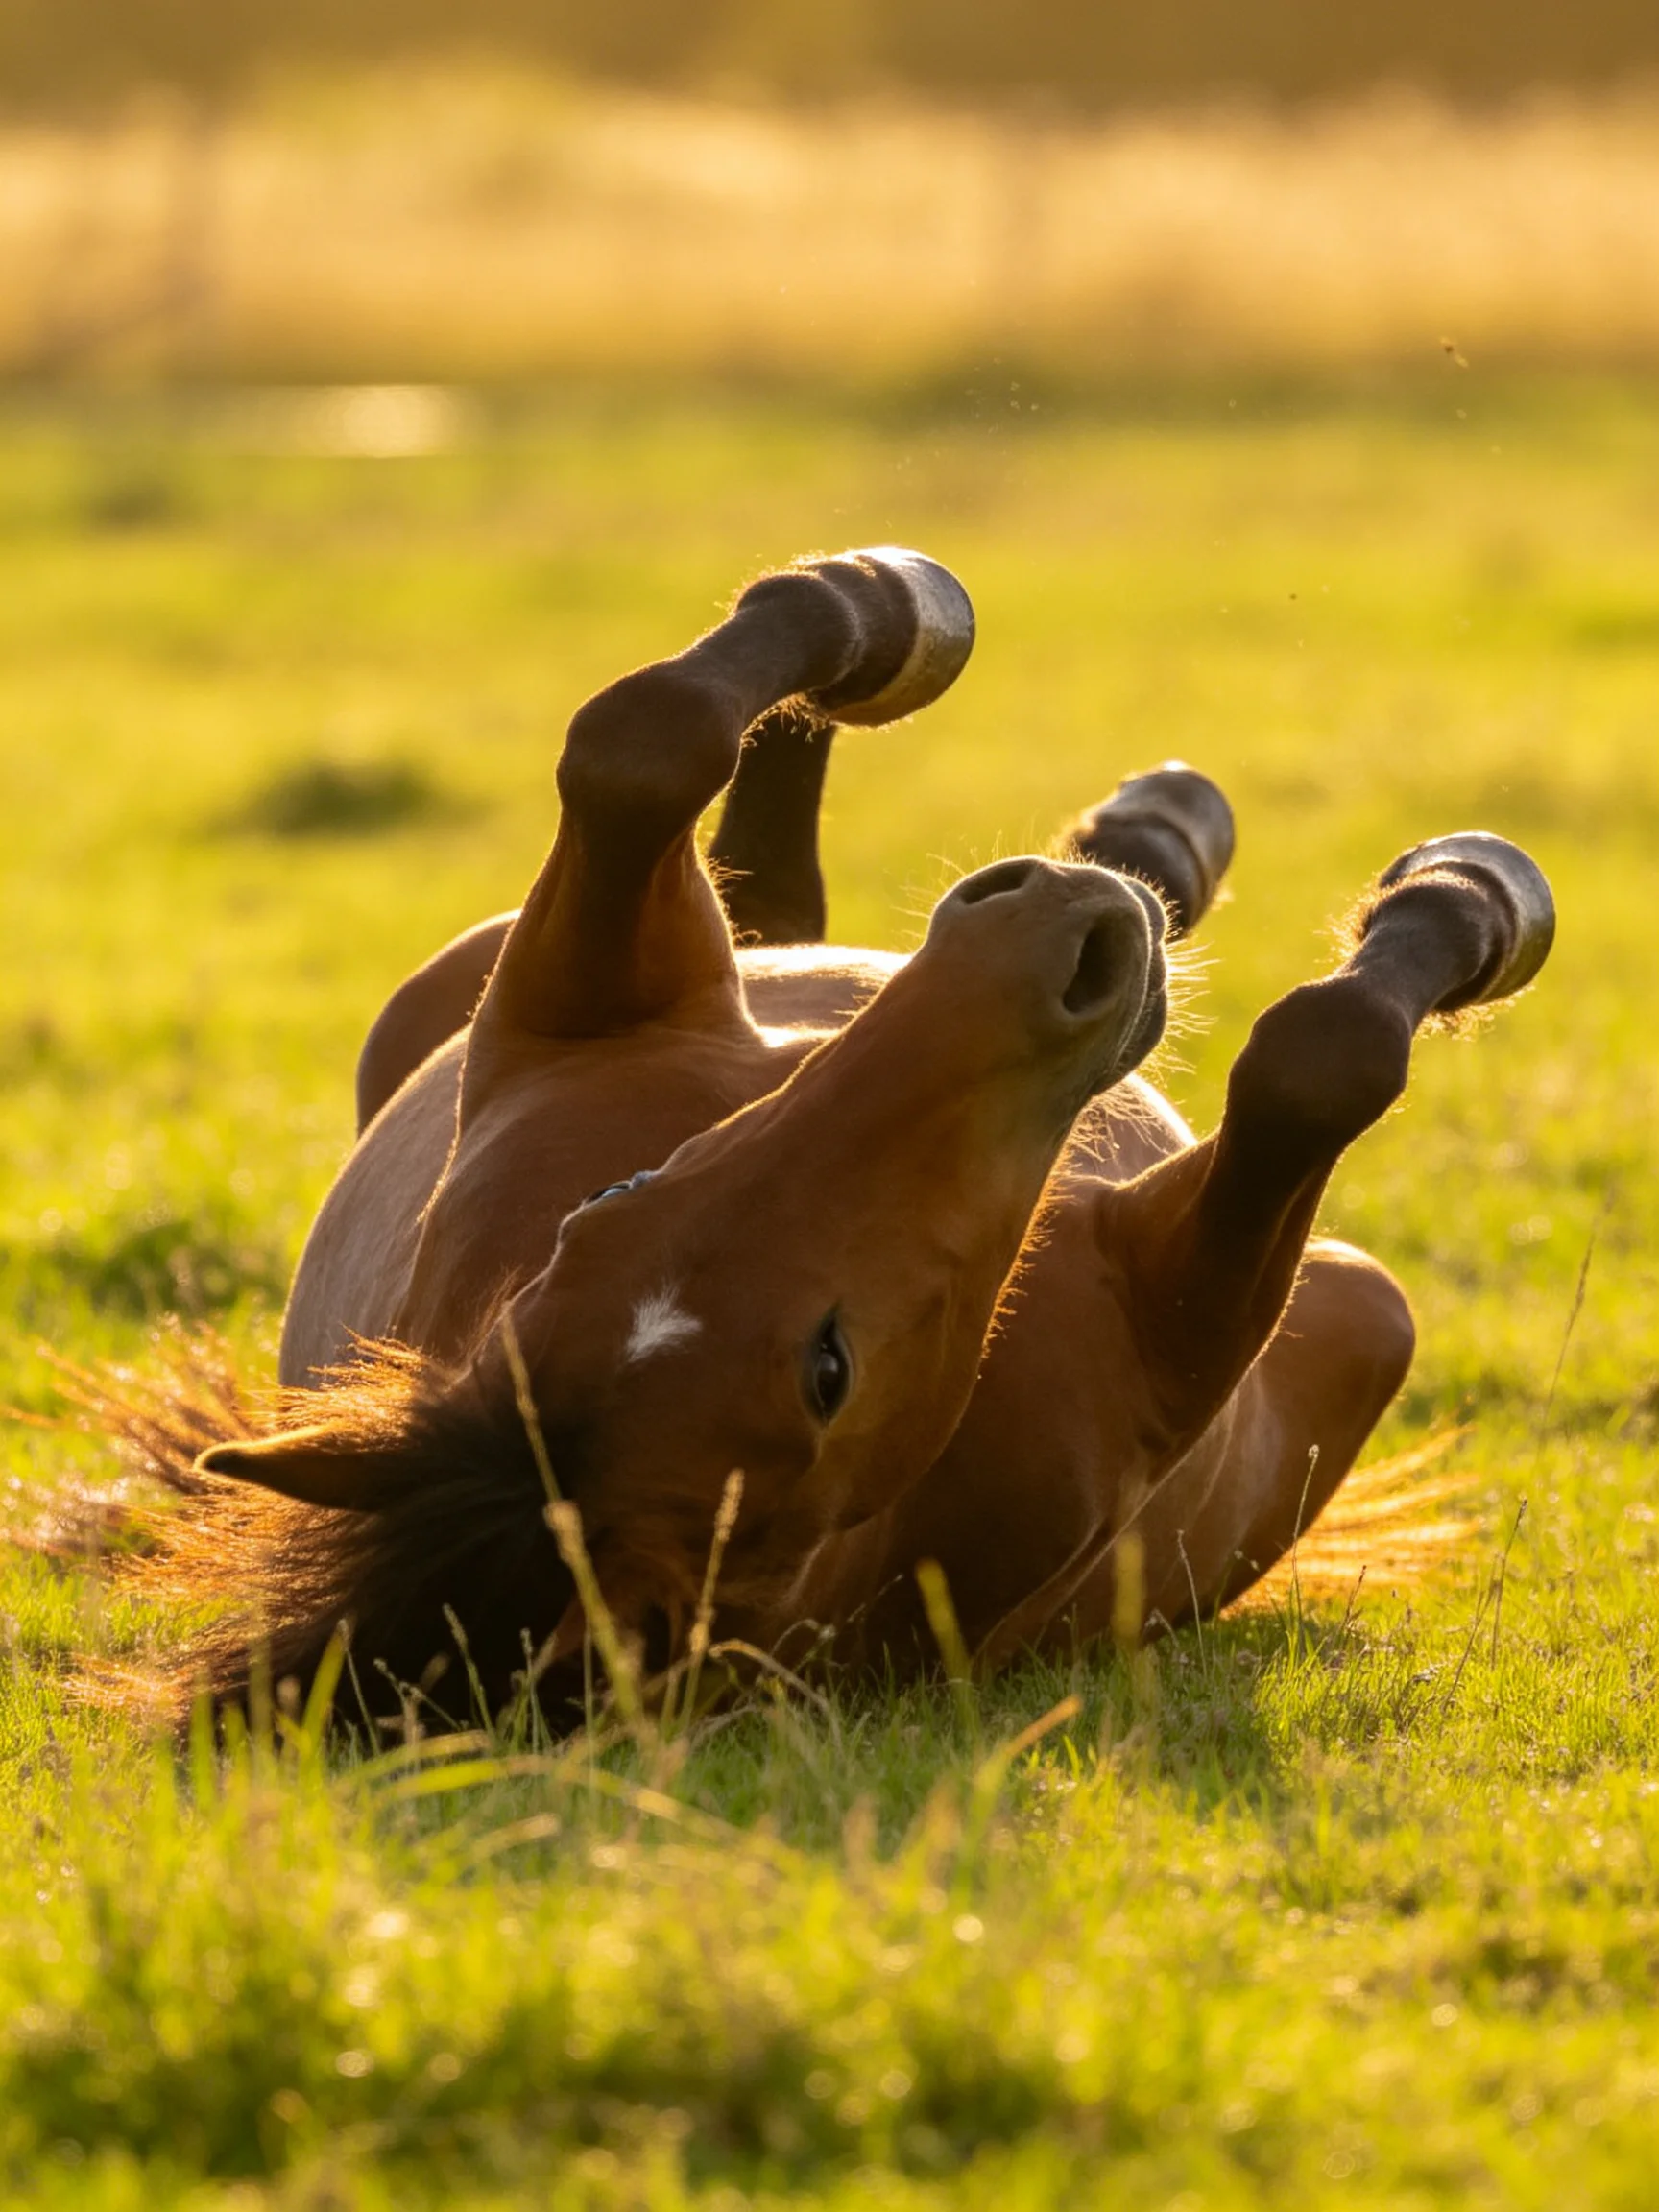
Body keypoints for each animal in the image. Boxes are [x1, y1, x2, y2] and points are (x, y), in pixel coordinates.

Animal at [138, 546, 1552, 1727]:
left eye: (606, 1205)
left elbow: (638, 739)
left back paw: (1130, 820)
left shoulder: (568, 1016)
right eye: (830, 1372)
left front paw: (879, 606)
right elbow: (1321, 1061)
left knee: (765, 873)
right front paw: (1469, 903)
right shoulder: (1179, 1326)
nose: (1039, 939)